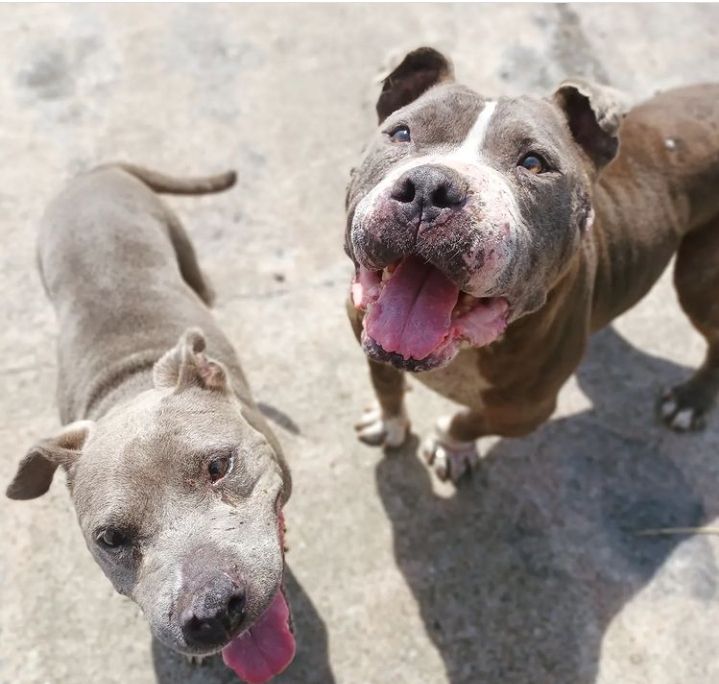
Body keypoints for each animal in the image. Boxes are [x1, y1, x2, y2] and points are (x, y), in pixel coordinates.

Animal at [346, 48, 719, 480]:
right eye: (401, 134)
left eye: (534, 163)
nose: (429, 188)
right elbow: (384, 381)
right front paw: (389, 420)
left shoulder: (525, 413)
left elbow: (466, 421)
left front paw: (449, 445)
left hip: (698, 283)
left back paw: (690, 400)